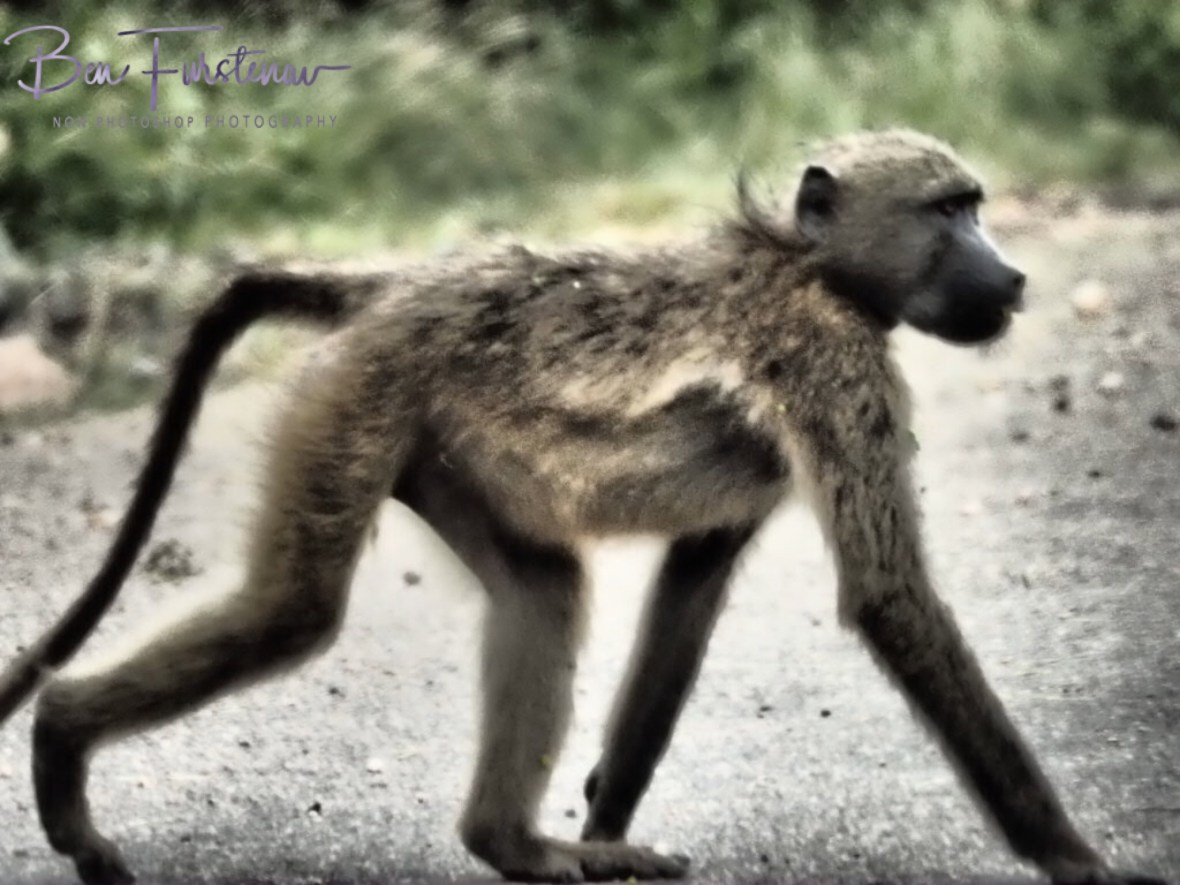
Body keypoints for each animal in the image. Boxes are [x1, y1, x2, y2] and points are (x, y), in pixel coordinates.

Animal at [0, 128, 1164, 885]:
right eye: (948, 210)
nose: (1011, 276)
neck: (809, 269)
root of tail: (399, 289)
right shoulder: (836, 371)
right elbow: (889, 596)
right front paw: (1078, 861)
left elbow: (689, 593)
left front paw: (605, 820)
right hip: (359, 395)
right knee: (294, 611)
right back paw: (60, 740)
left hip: (437, 446)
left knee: (543, 590)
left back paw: (515, 846)